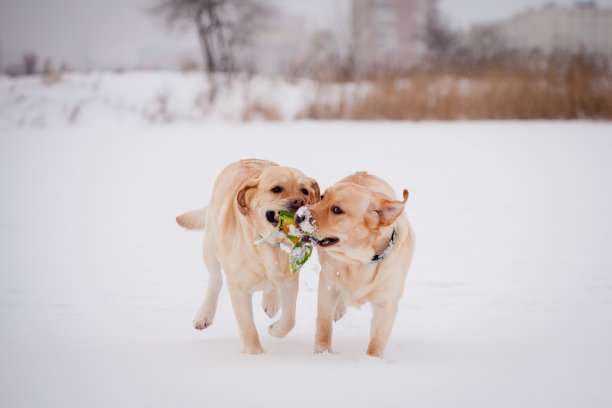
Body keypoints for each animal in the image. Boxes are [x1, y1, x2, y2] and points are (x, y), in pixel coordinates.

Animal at [177, 159, 320, 354]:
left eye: (305, 191)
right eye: (276, 189)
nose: (299, 201)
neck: (270, 244)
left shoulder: (290, 280)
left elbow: (289, 320)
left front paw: (274, 329)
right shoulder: (238, 289)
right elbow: (248, 326)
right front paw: (255, 354)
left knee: (271, 286)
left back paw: (271, 302)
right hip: (210, 247)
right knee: (215, 280)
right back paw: (204, 314)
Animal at [296, 171, 416, 356]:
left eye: (337, 210)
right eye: (322, 197)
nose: (299, 216)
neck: (358, 261)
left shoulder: (387, 305)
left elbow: (377, 342)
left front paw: (371, 360)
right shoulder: (327, 285)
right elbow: (324, 324)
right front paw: (323, 354)